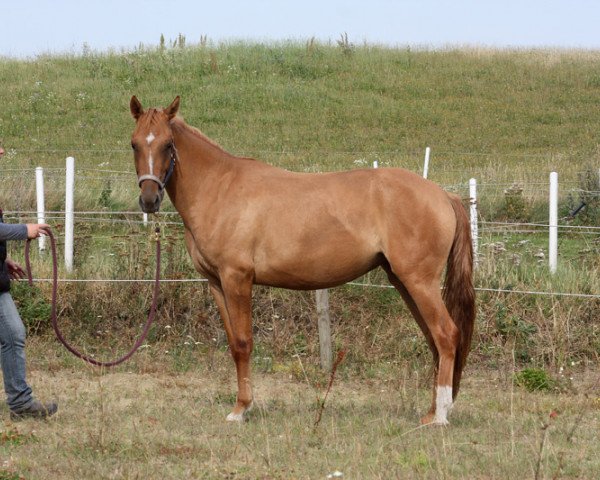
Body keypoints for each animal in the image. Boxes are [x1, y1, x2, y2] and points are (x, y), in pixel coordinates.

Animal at [130, 95, 474, 426]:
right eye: (134, 143)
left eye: (168, 144)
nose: (149, 199)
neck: (219, 188)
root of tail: (443, 195)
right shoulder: (216, 282)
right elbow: (232, 344)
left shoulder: (237, 278)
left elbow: (243, 343)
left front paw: (241, 409)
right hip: (403, 281)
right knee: (433, 339)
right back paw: (431, 411)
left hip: (419, 281)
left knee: (446, 334)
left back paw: (440, 417)